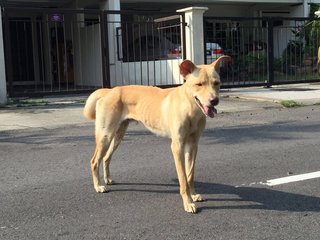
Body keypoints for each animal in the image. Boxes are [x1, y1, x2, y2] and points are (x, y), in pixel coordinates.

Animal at [83, 55, 230, 213]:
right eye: (199, 84)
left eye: (217, 83)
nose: (214, 101)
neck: (191, 108)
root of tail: (109, 91)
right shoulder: (177, 146)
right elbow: (183, 178)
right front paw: (188, 202)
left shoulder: (193, 145)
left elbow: (190, 174)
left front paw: (194, 195)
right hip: (106, 135)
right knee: (94, 161)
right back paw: (98, 186)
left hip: (118, 136)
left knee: (106, 158)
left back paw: (108, 179)